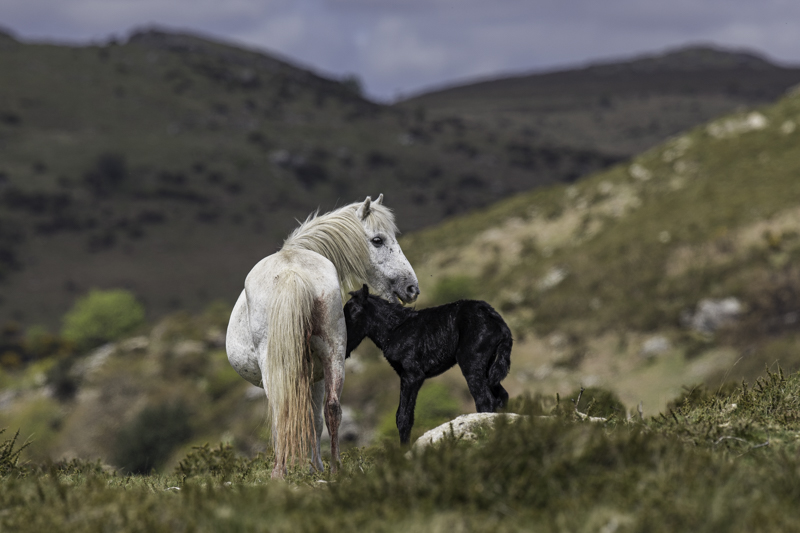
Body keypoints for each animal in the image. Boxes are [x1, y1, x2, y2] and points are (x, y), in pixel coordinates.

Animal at [226, 196, 419, 478]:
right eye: (378, 240)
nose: (411, 287)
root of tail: (292, 274)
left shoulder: (309, 377)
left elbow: (309, 419)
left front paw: (311, 466)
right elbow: (317, 418)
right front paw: (315, 467)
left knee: (283, 411)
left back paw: (280, 472)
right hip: (334, 351)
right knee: (333, 407)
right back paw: (335, 468)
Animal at [343, 285, 512, 444]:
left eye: (352, 313)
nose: (343, 349)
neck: (394, 328)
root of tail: (493, 316)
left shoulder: (412, 376)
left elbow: (403, 417)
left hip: (471, 363)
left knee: (485, 400)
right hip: (488, 367)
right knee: (501, 396)